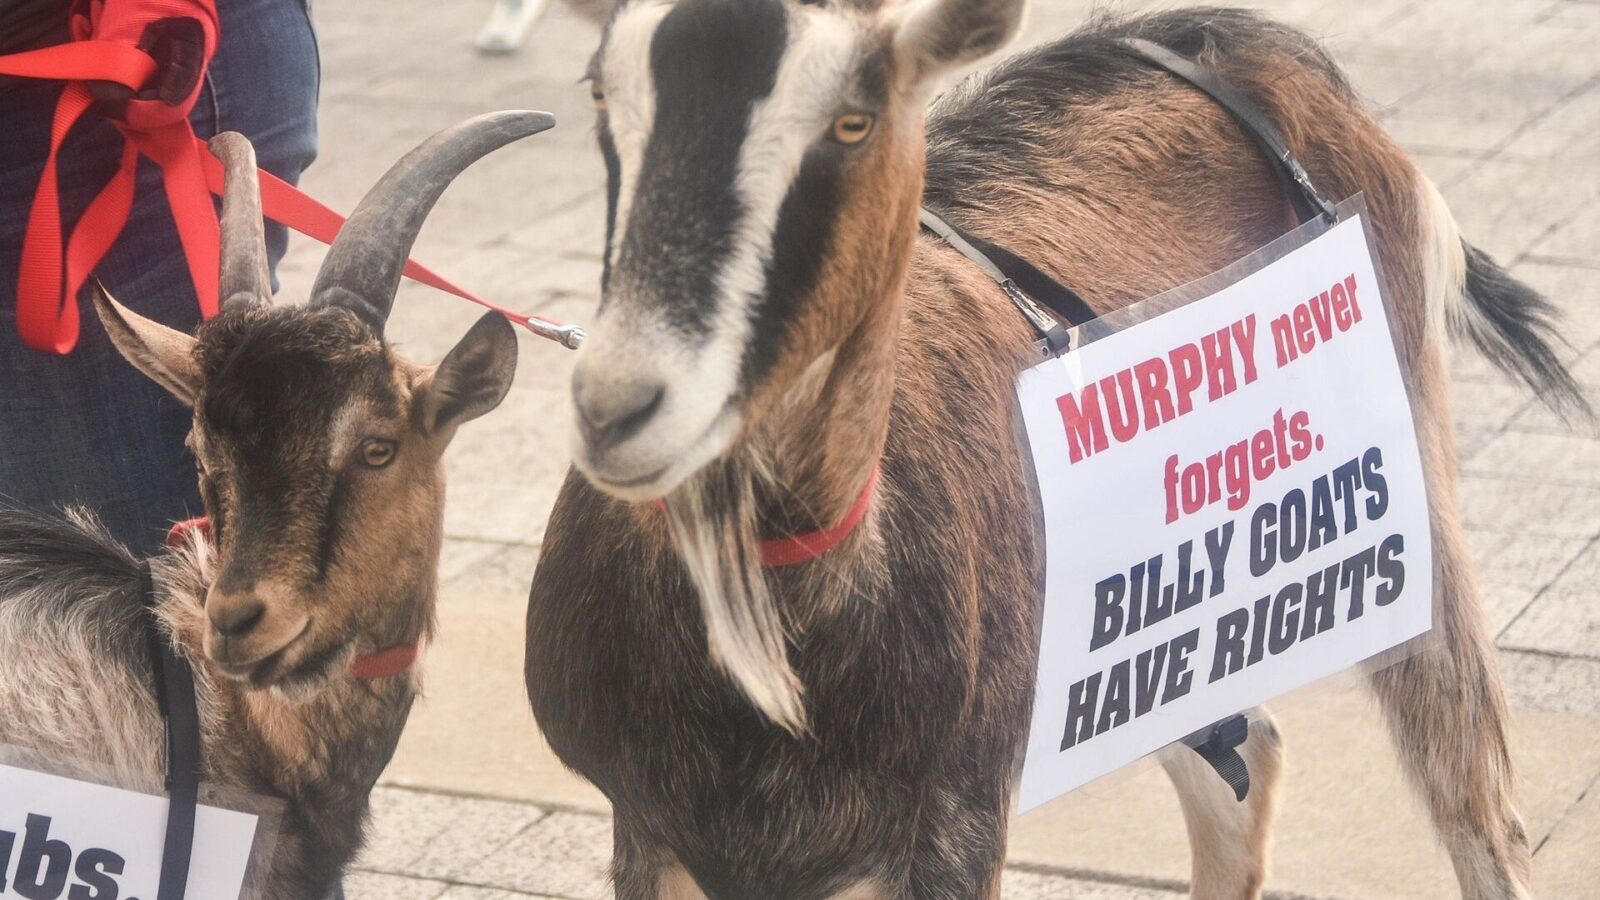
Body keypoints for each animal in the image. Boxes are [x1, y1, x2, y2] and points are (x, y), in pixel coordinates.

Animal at [525, 3, 1584, 898]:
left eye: (855, 119)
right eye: (601, 94)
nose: (625, 400)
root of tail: (1251, 48)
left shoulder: (956, 815)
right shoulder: (651, 828)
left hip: (1404, 484)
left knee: (1476, 798)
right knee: (1244, 756)